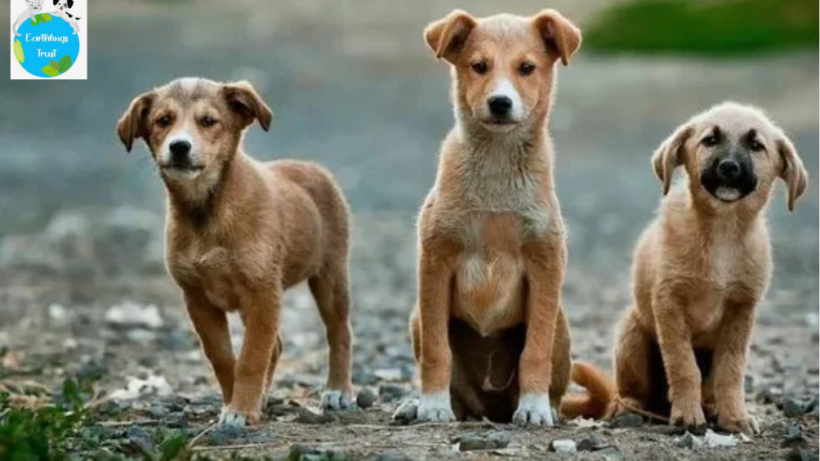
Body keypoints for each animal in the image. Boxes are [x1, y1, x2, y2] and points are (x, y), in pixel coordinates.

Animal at [117, 77, 354, 426]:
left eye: (208, 121)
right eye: (163, 120)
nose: (179, 147)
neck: (207, 212)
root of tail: (312, 168)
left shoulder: (262, 292)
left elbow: (252, 357)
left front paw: (241, 410)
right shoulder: (198, 299)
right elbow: (224, 358)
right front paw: (235, 403)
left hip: (330, 276)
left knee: (339, 333)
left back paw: (338, 390)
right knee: (277, 345)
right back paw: (264, 397)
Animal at [394, 9, 612, 426]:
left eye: (526, 68)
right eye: (479, 66)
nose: (499, 103)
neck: (496, 166)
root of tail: (490, 407)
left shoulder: (545, 263)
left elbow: (535, 351)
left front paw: (534, 407)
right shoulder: (435, 260)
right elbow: (437, 350)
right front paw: (431, 404)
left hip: (561, 324)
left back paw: (545, 407)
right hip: (417, 317)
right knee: (455, 386)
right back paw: (422, 404)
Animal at [576, 101, 808, 434]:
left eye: (756, 145)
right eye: (710, 140)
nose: (729, 167)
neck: (722, 232)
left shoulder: (741, 310)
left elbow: (731, 370)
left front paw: (735, 416)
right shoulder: (668, 303)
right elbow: (683, 366)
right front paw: (687, 414)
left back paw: (711, 408)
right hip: (632, 334)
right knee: (628, 392)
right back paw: (631, 409)